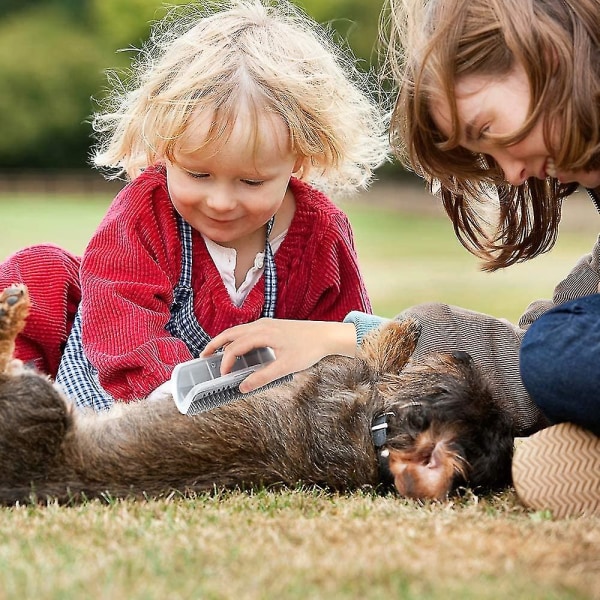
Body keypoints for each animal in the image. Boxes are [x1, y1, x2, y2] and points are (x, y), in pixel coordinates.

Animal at [0, 284, 516, 504]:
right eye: (459, 376)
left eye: (446, 386)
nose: (465, 353)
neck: (374, 432)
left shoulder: (338, 373)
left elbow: (375, 355)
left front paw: (401, 331)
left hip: (41, 403)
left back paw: (10, 312)